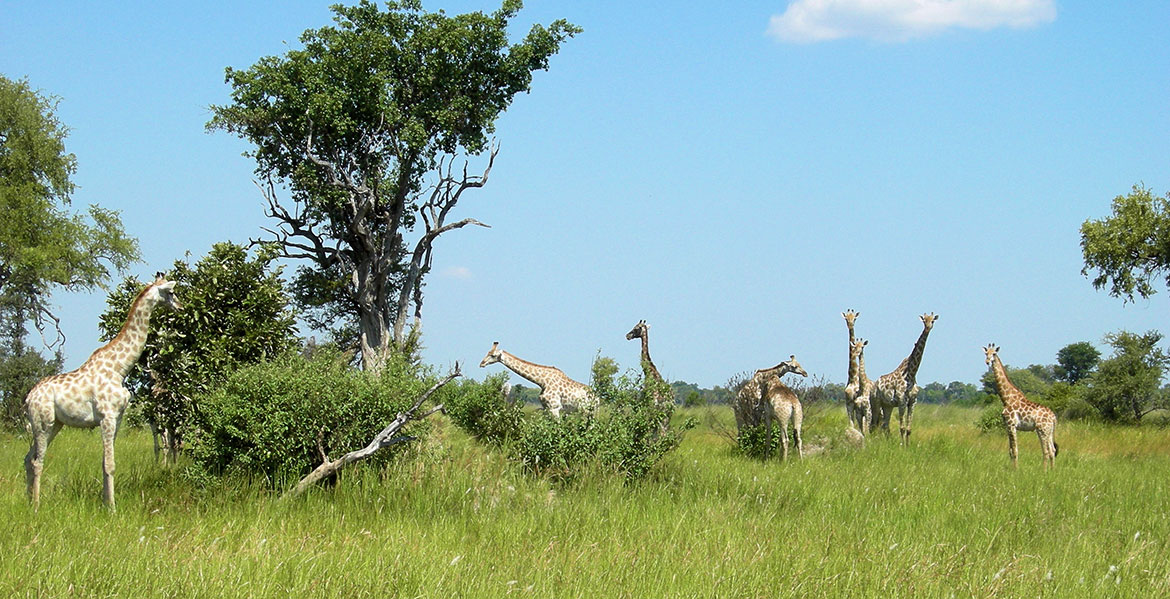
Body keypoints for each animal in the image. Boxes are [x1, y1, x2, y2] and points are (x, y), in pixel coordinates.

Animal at [23, 273, 180, 507]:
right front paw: (112, 508)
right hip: (43, 422)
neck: (119, 367)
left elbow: (106, 462)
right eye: (171, 292)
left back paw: (27, 499)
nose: (180, 306)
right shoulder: (107, 416)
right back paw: (35, 506)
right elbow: (110, 464)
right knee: (36, 461)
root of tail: (28, 399)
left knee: (27, 458)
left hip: (53, 424)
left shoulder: (118, 418)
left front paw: (106, 502)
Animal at [870, 313, 940, 444]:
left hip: (887, 405)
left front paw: (908, 446)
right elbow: (902, 428)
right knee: (873, 425)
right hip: (875, 402)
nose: (928, 328)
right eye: (924, 321)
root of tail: (873, 386)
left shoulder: (912, 402)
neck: (911, 374)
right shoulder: (902, 401)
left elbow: (908, 429)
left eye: (932, 320)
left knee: (885, 425)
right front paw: (902, 446)